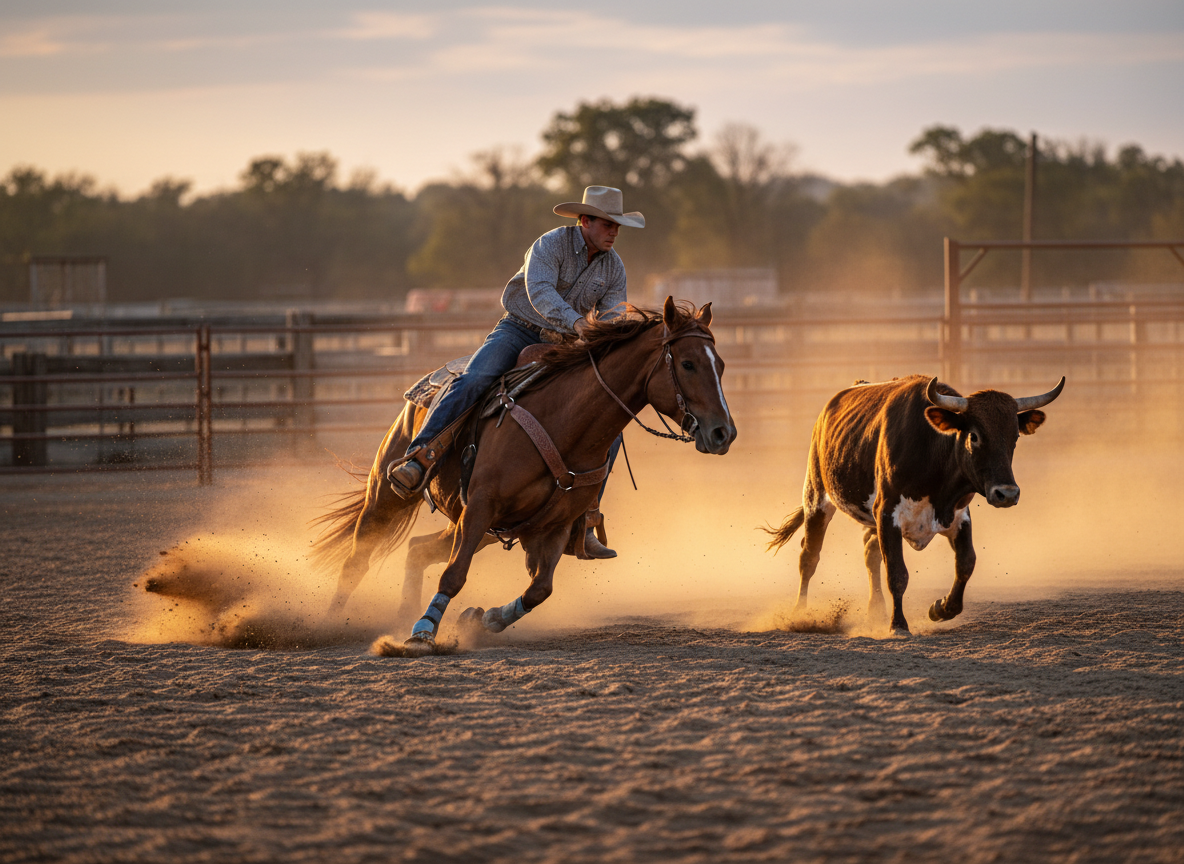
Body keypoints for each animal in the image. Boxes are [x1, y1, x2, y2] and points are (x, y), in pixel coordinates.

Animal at [312, 298, 737, 654]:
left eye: (721, 365)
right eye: (687, 364)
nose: (723, 433)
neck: (563, 422)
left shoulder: (553, 526)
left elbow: (539, 590)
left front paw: (483, 619)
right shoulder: (481, 506)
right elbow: (454, 576)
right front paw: (422, 634)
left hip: (473, 526)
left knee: (418, 549)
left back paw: (404, 613)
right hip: (388, 493)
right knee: (357, 560)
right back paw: (332, 623)